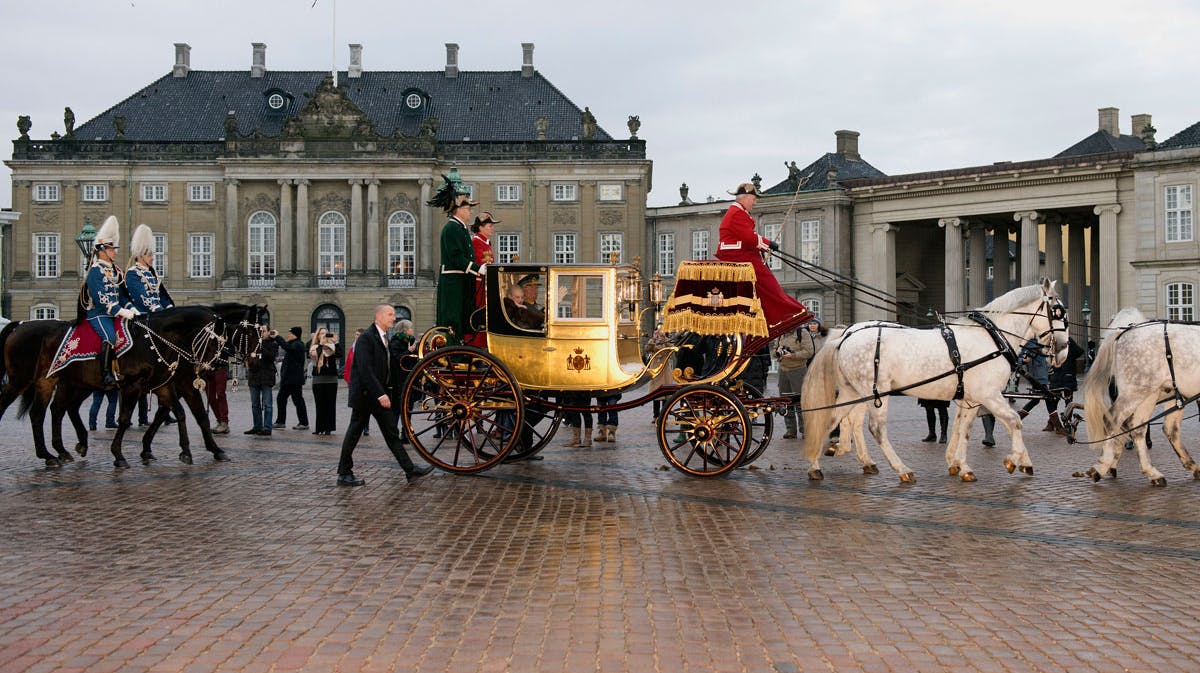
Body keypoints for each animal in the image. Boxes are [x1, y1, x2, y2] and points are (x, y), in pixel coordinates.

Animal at [0, 304, 265, 467]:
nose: (210, 367)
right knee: (34, 410)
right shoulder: (140, 386)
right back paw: (56, 451)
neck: (161, 338)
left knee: (51, 411)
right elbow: (128, 418)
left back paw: (59, 451)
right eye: (249, 334)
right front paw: (120, 454)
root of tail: (21, 324)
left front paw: (206, 450)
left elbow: (189, 414)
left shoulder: (167, 386)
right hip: (23, 381)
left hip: (64, 383)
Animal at [806, 279, 1070, 482]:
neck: (992, 338)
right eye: (1058, 312)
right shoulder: (989, 395)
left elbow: (963, 429)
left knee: (834, 419)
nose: (1064, 351)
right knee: (875, 428)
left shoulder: (971, 399)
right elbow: (1014, 421)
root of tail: (844, 337)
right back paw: (902, 469)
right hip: (876, 392)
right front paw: (1014, 460)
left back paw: (818, 464)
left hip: (854, 392)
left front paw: (960, 465)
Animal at [1080, 304, 1200, 482]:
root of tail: (1124, 332)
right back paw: (1102, 466)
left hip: (1151, 395)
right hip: (1134, 393)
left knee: (1144, 428)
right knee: (1113, 420)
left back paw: (1155, 471)